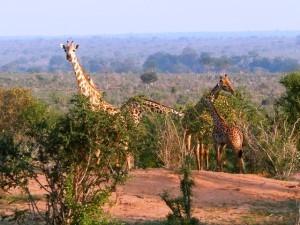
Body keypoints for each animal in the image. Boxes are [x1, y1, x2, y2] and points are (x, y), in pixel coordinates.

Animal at [60, 40, 183, 170]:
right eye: (65, 49)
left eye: (74, 50)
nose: (69, 57)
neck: (91, 99)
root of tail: (138, 104)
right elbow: (95, 149)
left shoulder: (97, 128)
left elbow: (97, 150)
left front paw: (96, 168)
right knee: (126, 150)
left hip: (131, 128)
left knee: (129, 150)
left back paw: (128, 169)